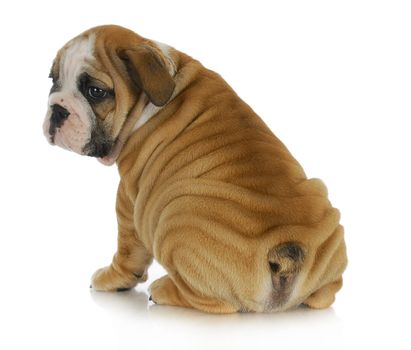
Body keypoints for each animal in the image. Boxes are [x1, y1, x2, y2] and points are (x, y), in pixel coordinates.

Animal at [43, 25, 348, 314]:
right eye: (53, 80)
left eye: (95, 92)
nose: (57, 109)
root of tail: (286, 251)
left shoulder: (129, 200)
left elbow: (128, 250)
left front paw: (111, 278)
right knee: (326, 294)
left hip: (174, 217)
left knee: (216, 303)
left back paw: (163, 289)